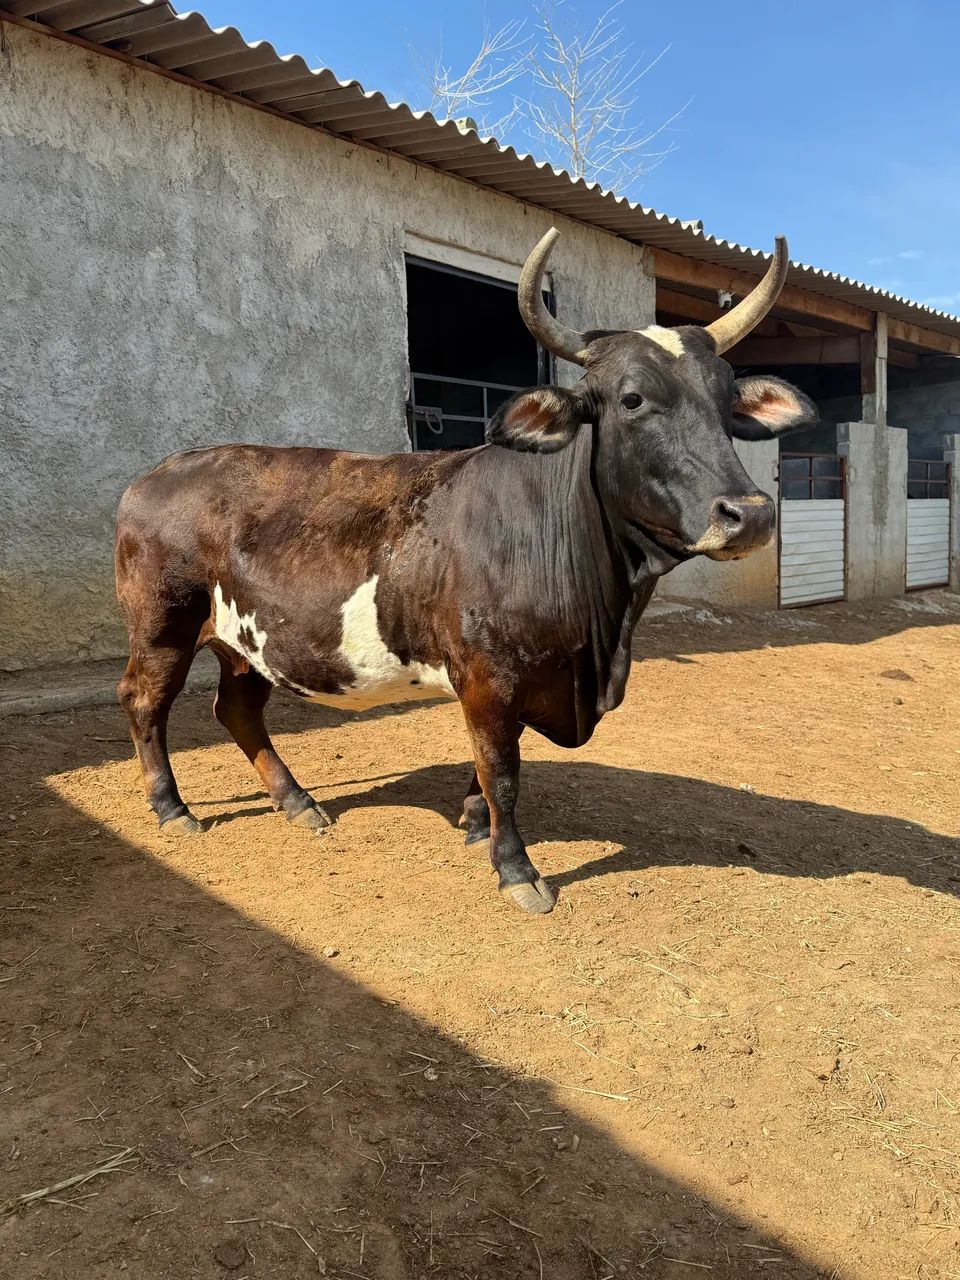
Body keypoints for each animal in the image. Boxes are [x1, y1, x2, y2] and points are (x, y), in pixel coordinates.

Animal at [115, 229, 816, 914]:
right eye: (632, 399)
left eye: (727, 403)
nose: (750, 514)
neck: (600, 635)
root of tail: (158, 473)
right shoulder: (488, 676)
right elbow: (502, 769)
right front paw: (516, 870)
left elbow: (484, 767)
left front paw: (475, 824)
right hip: (163, 624)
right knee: (145, 700)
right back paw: (173, 808)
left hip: (246, 641)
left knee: (236, 709)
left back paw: (299, 803)